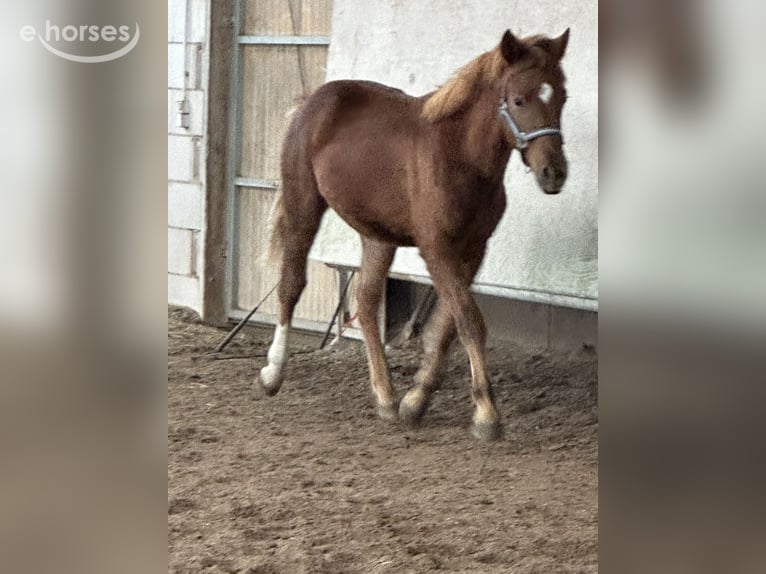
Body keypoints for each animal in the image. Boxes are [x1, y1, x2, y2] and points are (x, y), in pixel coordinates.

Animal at [256, 28, 570, 440]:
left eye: (562, 96)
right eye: (519, 99)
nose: (554, 173)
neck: (460, 156)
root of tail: (310, 101)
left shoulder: (473, 251)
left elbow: (446, 328)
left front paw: (415, 401)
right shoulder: (436, 249)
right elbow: (469, 321)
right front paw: (487, 415)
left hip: (377, 236)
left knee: (366, 301)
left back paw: (387, 397)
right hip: (302, 206)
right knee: (291, 284)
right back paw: (272, 374)